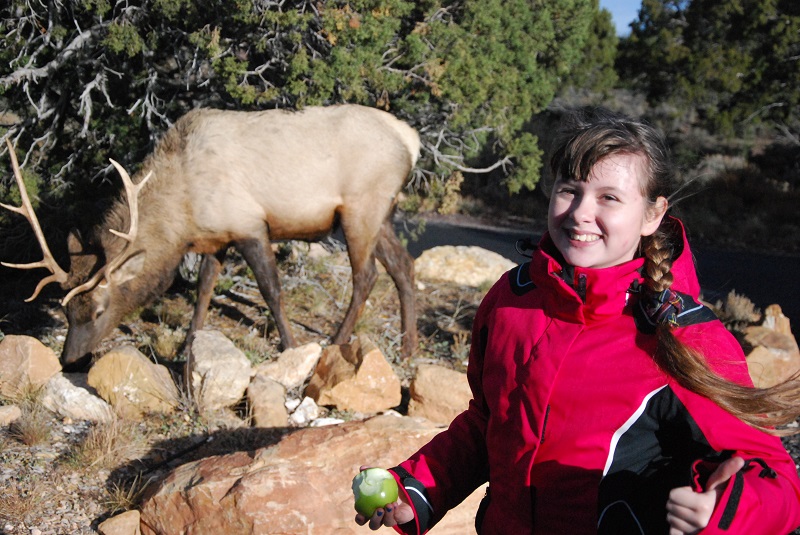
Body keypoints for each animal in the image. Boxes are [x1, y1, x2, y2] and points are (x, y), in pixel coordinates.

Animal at [3, 107, 418, 370]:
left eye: (99, 311)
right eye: (66, 312)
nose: (70, 360)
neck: (184, 211)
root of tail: (411, 141)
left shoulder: (250, 224)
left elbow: (271, 290)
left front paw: (290, 345)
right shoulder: (216, 239)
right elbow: (203, 290)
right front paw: (189, 343)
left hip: (361, 208)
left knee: (367, 276)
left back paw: (337, 340)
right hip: (383, 214)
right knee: (404, 267)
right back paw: (408, 348)